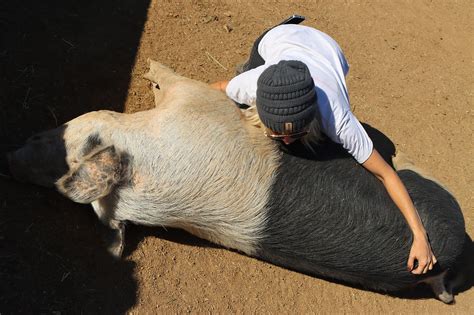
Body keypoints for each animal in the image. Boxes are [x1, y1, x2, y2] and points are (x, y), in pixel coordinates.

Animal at [6, 59, 466, 304]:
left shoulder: (195, 105)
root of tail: (451, 255)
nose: (7, 160)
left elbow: (179, 81)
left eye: (46, 139)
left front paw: (150, 65)